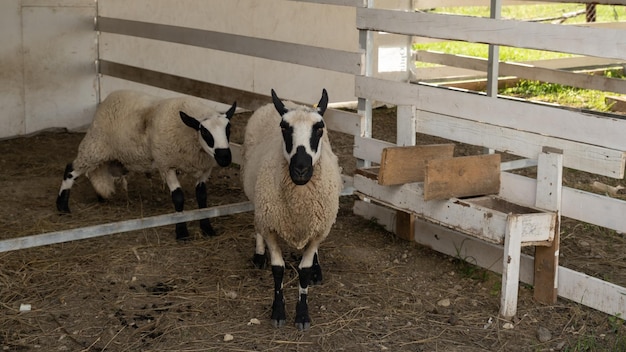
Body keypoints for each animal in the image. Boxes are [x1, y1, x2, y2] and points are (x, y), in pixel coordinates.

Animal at [55, 89, 236, 241]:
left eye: (228, 129)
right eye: (204, 132)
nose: (225, 158)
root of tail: (111, 95)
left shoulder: (205, 168)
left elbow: (202, 197)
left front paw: (207, 228)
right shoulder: (166, 165)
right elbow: (178, 197)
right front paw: (182, 233)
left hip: (108, 156)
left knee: (95, 173)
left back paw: (100, 196)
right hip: (94, 146)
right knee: (71, 170)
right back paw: (62, 206)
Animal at [241, 88, 342, 330]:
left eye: (319, 128)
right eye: (284, 128)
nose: (301, 169)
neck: (299, 205)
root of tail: (283, 102)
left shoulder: (318, 227)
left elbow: (304, 270)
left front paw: (302, 315)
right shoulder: (270, 225)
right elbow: (278, 269)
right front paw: (278, 312)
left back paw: (317, 268)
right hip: (256, 198)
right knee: (257, 225)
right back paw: (259, 255)